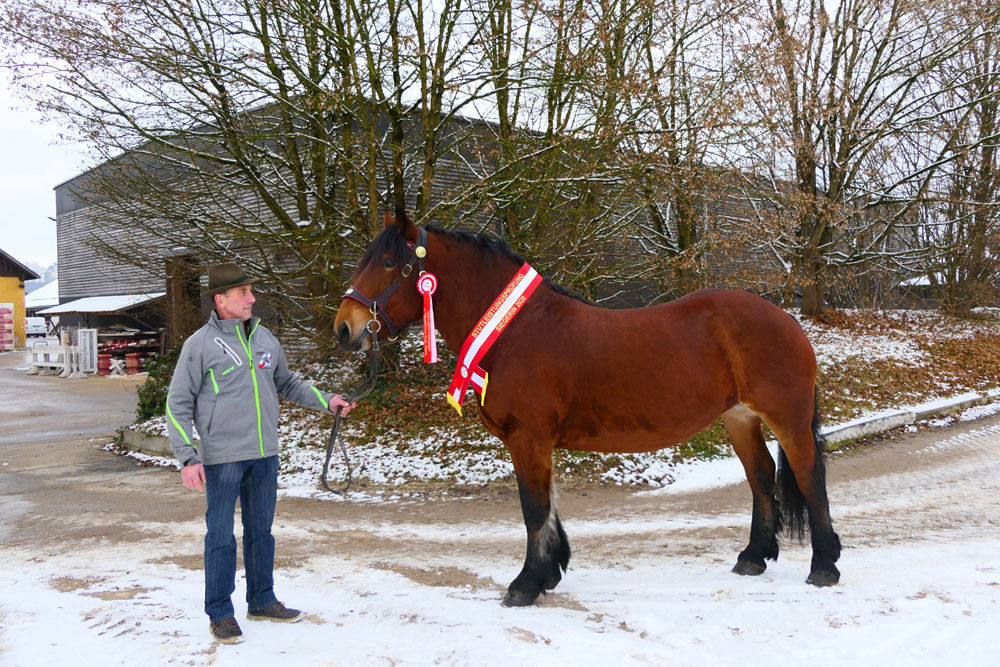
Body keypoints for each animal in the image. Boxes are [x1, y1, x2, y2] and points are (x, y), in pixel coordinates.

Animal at [334, 207, 836, 604]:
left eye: (387, 263)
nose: (344, 328)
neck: (515, 332)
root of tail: (788, 320)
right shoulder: (533, 441)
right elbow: (546, 503)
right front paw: (551, 571)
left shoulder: (529, 436)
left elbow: (533, 506)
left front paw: (526, 584)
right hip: (739, 419)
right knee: (761, 477)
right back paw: (753, 557)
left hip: (786, 418)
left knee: (809, 475)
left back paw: (824, 566)